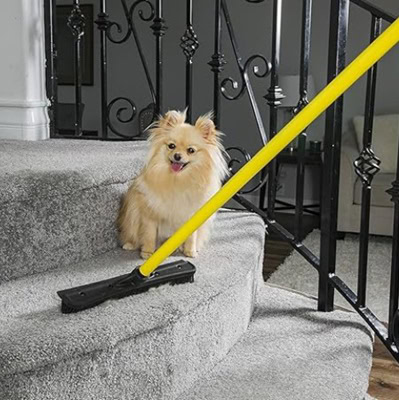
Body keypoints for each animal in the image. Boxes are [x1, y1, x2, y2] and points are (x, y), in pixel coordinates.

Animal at [118, 109, 228, 260]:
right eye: (171, 146)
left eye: (191, 150)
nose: (177, 156)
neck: (177, 180)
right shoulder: (149, 215)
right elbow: (149, 235)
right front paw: (147, 253)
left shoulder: (191, 215)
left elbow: (191, 236)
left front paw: (190, 252)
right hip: (132, 217)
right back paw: (130, 244)